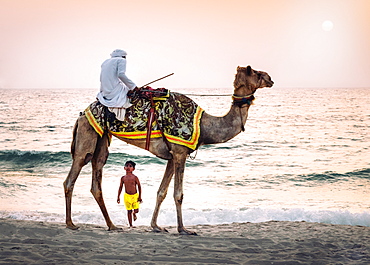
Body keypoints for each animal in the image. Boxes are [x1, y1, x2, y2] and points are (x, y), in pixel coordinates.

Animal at [62, 65, 272, 233]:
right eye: (256, 72)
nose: (270, 79)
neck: (203, 126)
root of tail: (81, 115)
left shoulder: (173, 156)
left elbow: (161, 192)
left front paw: (156, 226)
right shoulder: (180, 153)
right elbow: (178, 194)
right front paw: (183, 229)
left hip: (102, 139)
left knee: (96, 180)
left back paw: (112, 225)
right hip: (87, 136)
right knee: (72, 176)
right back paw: (71, 223)